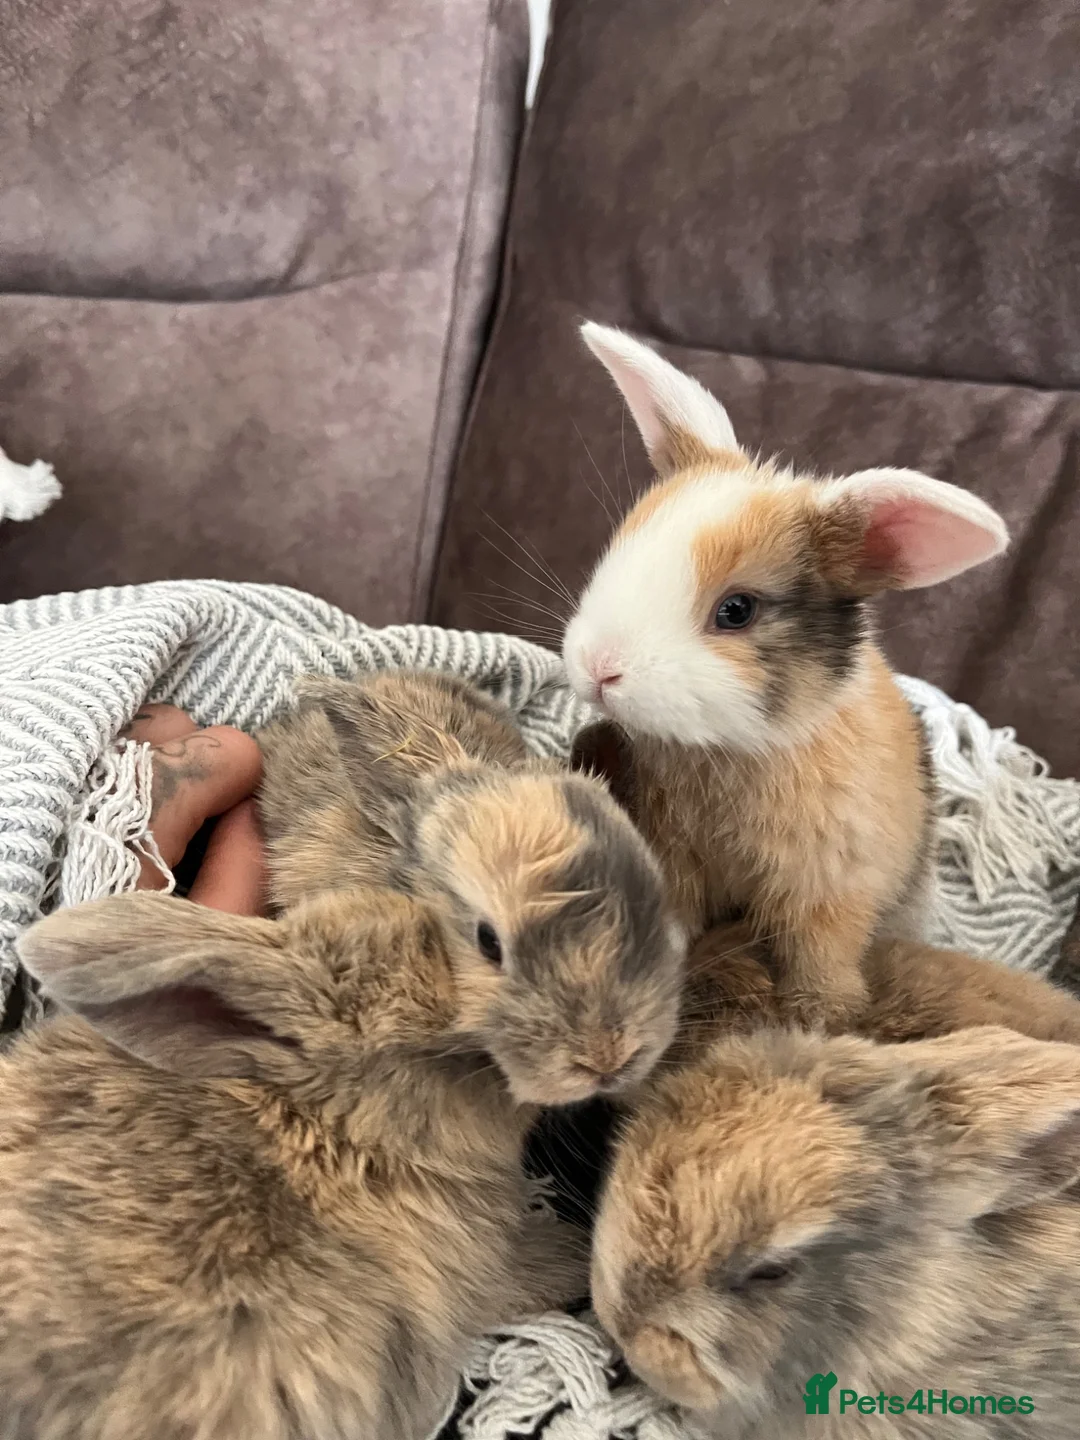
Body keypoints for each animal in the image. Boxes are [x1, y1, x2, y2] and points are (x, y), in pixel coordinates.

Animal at [562, 326, 1010, 1030]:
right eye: (621, 547)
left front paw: (820, 1018)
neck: (740, 748)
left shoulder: (829, 897)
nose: (597, 668)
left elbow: (818, 962)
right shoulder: (676, 859)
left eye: (737, 610)